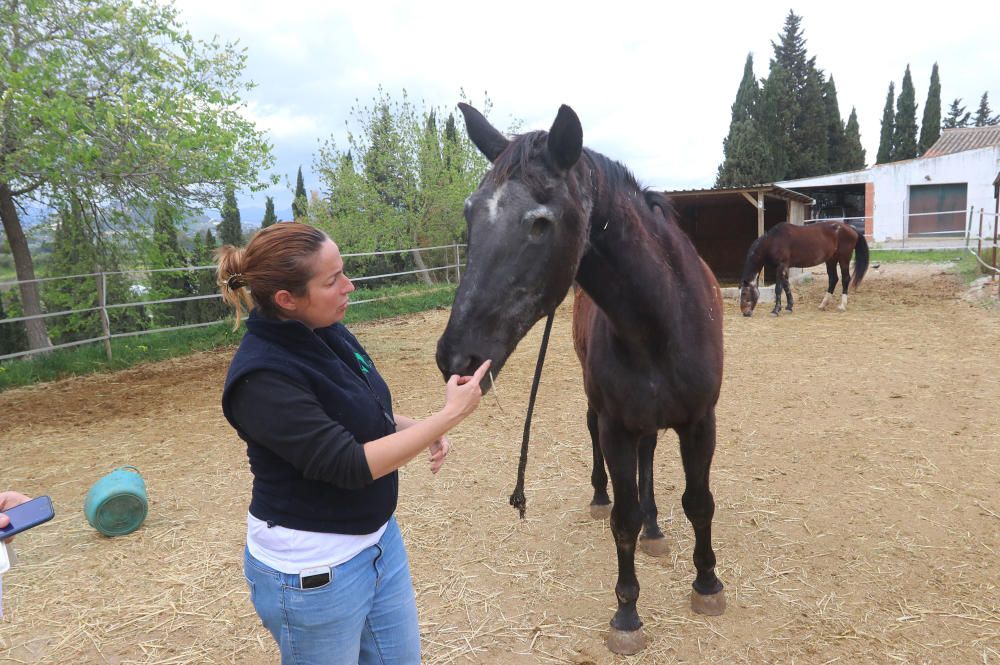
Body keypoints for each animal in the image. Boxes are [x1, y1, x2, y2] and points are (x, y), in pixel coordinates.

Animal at [438, 104, 728, 652]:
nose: (456, 358)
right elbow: (623, 519)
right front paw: (627, 613)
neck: (663, 319)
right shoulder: (617, 425)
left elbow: (699, 502)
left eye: (540, 223)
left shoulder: (701, 421)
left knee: (650, 457)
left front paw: (706, 583)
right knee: (600, 440)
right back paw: (603, 497)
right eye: (468, 213)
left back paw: (657, 528)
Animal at [740, 220, 872, 316]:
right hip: (831, 260)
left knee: (845, 279)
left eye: (745, 293)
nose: (745, 313)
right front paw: (789, 307)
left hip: (844, 259)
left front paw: (775, 310)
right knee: (833, 279)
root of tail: (851, 228)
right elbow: (786, 287)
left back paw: (842, 306)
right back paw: (823, 304)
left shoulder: (780, 266)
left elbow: (778, 289)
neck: (773, 240)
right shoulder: (785, 268)